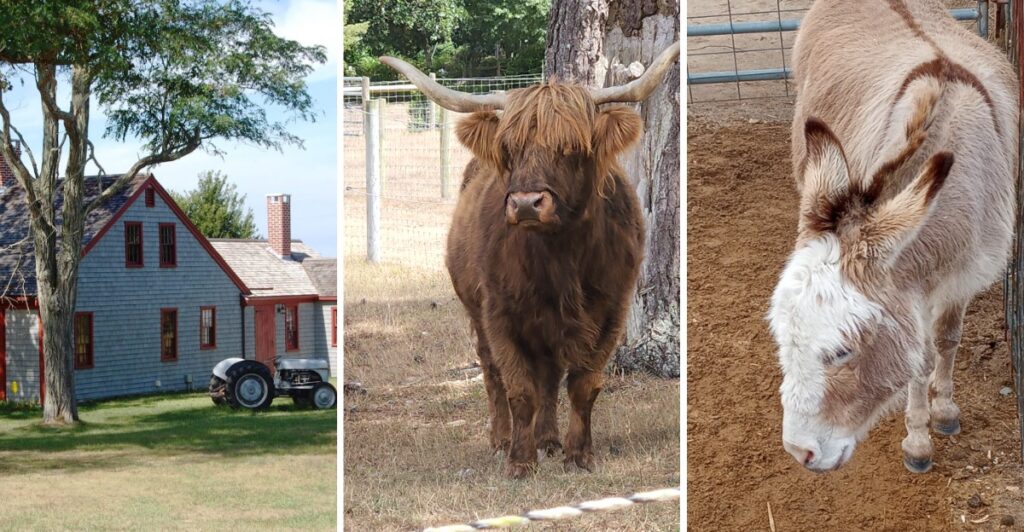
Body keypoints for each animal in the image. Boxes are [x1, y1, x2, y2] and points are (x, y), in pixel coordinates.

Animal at [381, 42, 679, 478]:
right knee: (492, 372)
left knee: (550, 377)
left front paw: (578, 455)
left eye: (571, 147)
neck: (561, 257)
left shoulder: (612, 311)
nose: (525, 203)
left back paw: (549, 439)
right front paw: (520, 461)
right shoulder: (500, 313)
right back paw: (502, 440)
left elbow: (584, 385)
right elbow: (519, 387)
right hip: (476, 310)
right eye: (510, 149)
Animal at [767, 0, 1017, 474]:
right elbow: (919, 360)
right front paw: (918, 441)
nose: (796, 451)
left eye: (841, 352)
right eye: (784, 340)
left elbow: (946, 340)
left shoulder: (965, 275)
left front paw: (944, 411)